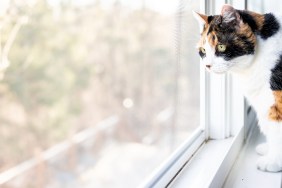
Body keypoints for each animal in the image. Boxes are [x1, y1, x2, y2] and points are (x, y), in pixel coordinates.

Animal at [193, 4, 282, 172]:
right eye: (203, 51)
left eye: (221, 46)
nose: (207, 66)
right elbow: (270, 127)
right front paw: (268, 150)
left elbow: (276, 129)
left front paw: (273, 162)